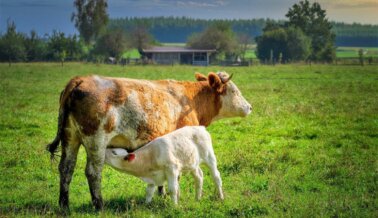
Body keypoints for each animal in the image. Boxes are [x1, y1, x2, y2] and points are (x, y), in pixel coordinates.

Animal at [46, 71, 251, 209]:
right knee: (93, 172)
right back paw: (99, 205)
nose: (249, 107)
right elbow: (176, 178)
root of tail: (80, 79)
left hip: (70, 139)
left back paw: (64, 205)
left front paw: (162, 194)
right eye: (234, 91)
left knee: (66, 168)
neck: (190, 100)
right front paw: (173, 197)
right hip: (96, 141)